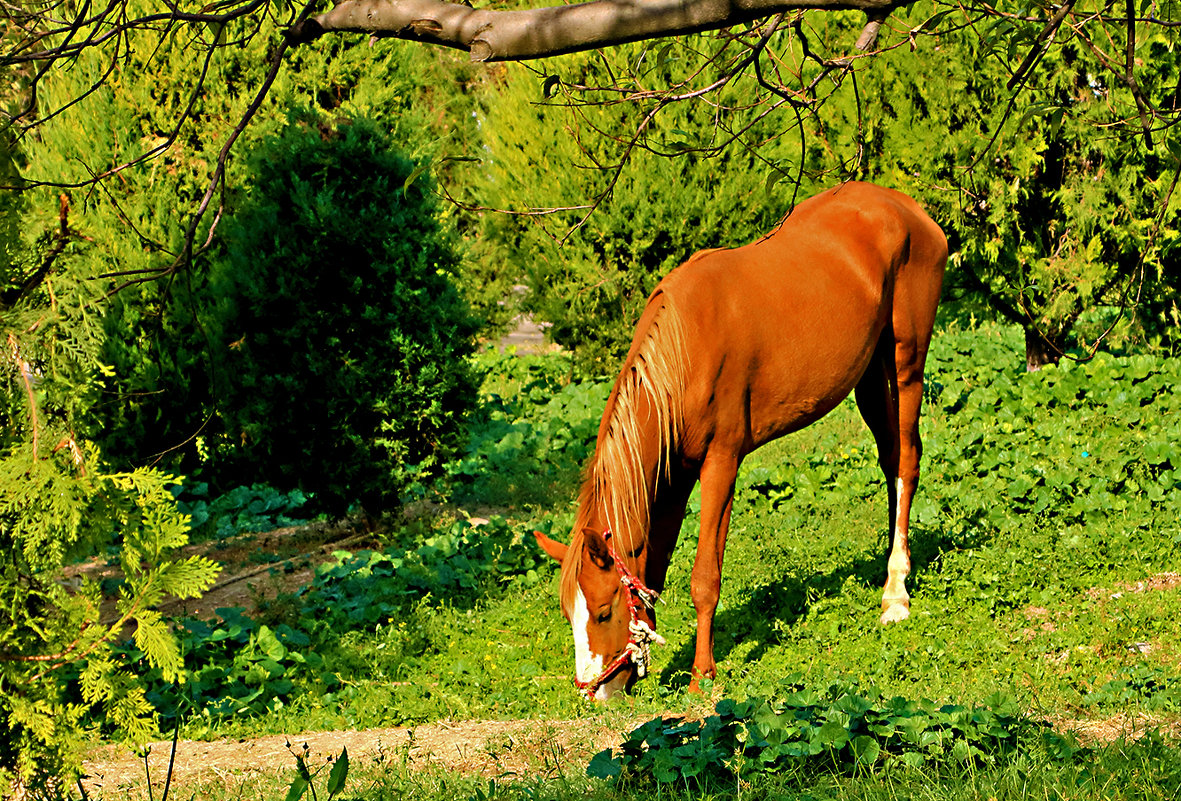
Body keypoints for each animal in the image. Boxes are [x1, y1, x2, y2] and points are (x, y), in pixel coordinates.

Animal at [536, 183, 949, 704]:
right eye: (570, 614)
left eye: (605, 610)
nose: (595, 692)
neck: (685, 348)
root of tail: (908, 208)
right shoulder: (674, 476)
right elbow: (657, 567)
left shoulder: (721, 463)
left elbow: (703, 578)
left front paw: (701, 675)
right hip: (872, 375)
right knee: (891, 461)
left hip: (905, 363)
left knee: (907, 463)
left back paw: (896, 595)